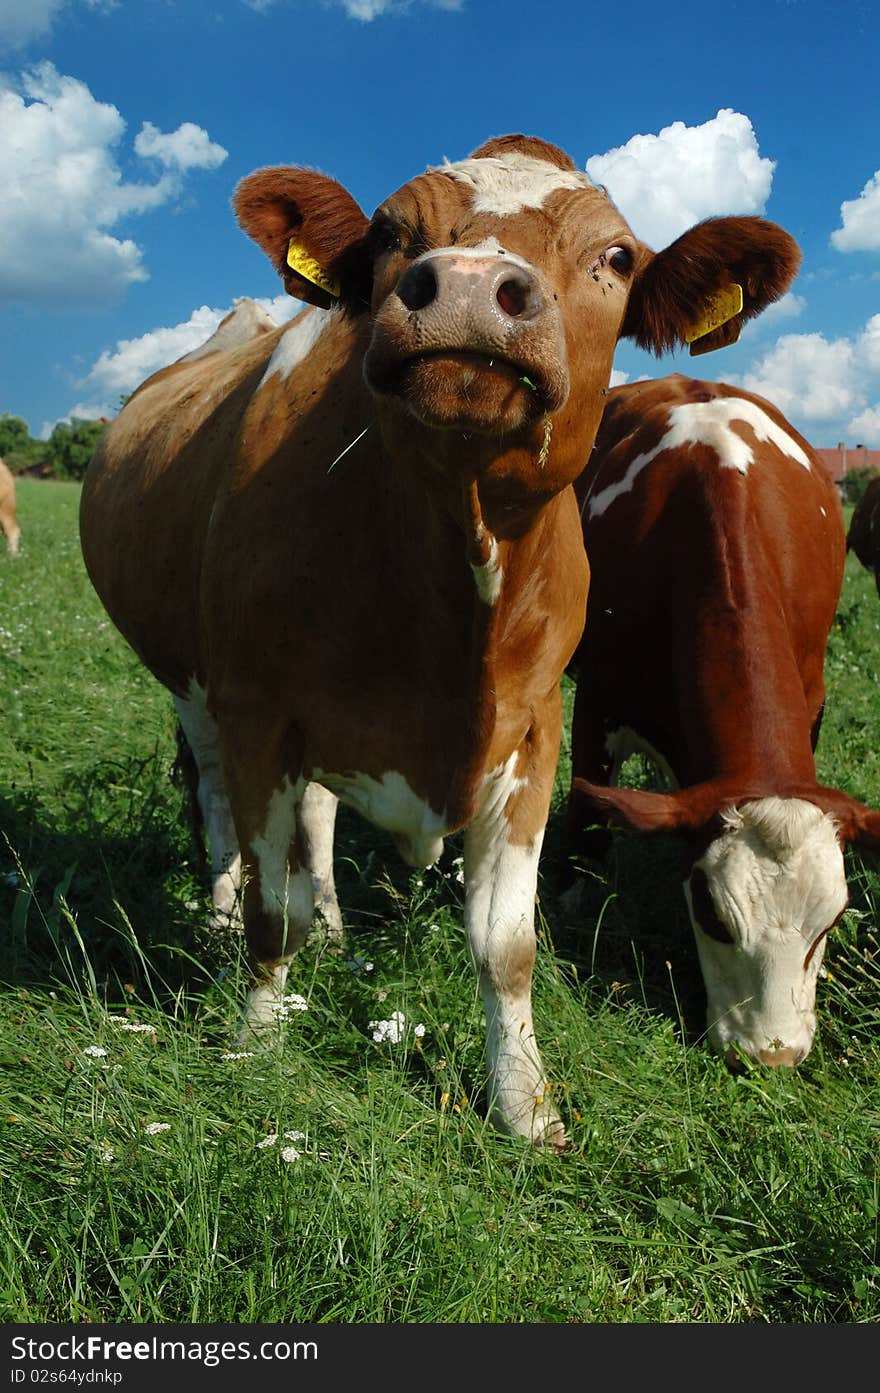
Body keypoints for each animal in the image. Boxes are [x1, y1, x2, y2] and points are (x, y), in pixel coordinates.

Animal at [79, 135, 802, 1147]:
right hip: (191, 684)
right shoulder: (259, 710)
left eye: (617, 256)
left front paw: (526, 1104)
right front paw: (257, 1047)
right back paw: (222, 912)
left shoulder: (537, 729)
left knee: (317, 818)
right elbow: (270, 916)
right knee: (216, 797)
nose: (464, 285)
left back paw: (335, 925)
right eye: (388, 233)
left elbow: (507, 946)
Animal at [562, 370, 880, 1064]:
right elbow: (587, 832)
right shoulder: (597, 703)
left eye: (834, 920)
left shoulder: (813, 700)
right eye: (712, 914)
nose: (773, 1056)